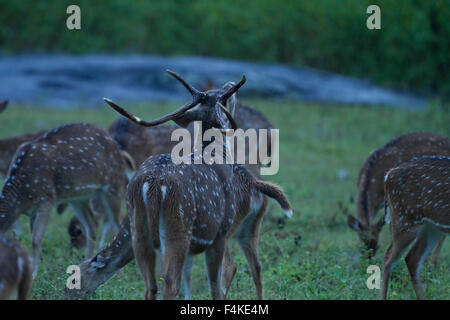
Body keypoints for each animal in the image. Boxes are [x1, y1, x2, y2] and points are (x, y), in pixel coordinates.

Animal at [0, 122, 127, 276]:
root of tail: (114, 143)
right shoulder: (33, 211)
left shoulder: (46, 199)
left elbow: (36, 239)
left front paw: (34, 272)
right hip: (78, 198)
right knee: (92, 225)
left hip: (113, 186)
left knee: (118, 223)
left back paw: (119, 272)